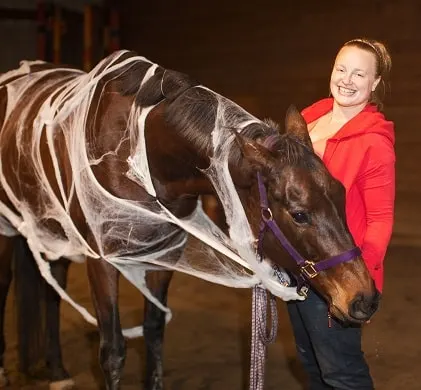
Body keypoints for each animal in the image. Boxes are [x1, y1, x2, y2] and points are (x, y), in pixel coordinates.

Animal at [0, 50, 378, 388]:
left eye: (342, 193)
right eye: (299, 214)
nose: (365, 299)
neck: (137, 153)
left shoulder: (164, 254)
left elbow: (154, 334)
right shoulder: (101, 260)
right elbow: (113, 352)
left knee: (53, 287)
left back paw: (57, 369)